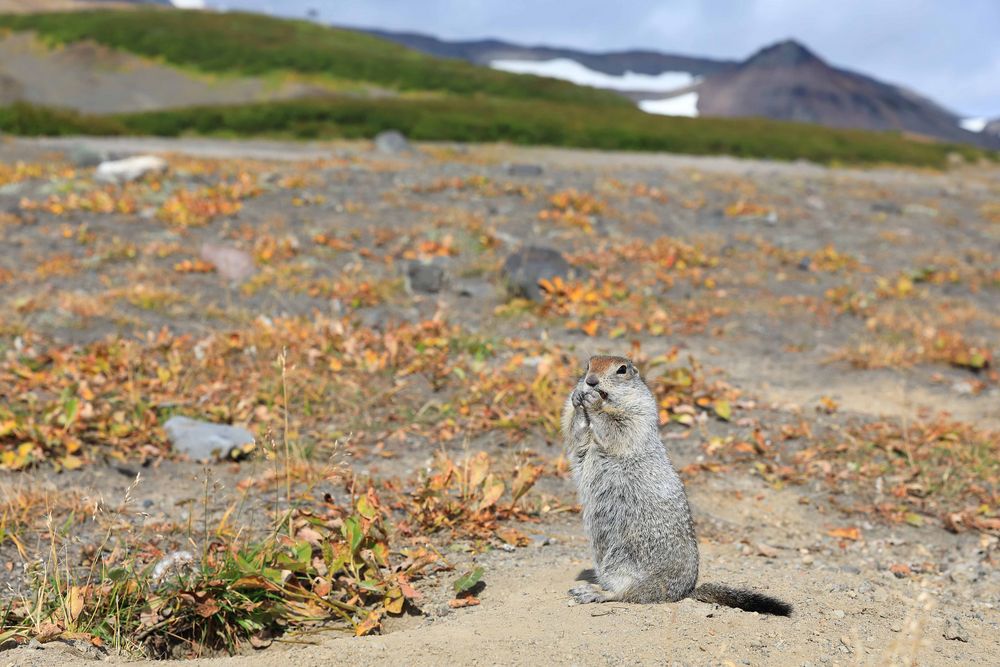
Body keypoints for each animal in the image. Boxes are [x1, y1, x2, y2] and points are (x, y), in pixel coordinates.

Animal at [564, 354, 788, 616]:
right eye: (588, 365)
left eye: (622, 370)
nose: (590, 381)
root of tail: (685, 591)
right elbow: (575, 434)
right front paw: (577, 398)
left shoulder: (639, 415)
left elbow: (618, 426)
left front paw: (594, 402)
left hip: (626, 561)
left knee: (627, 593)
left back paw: (594, 592)